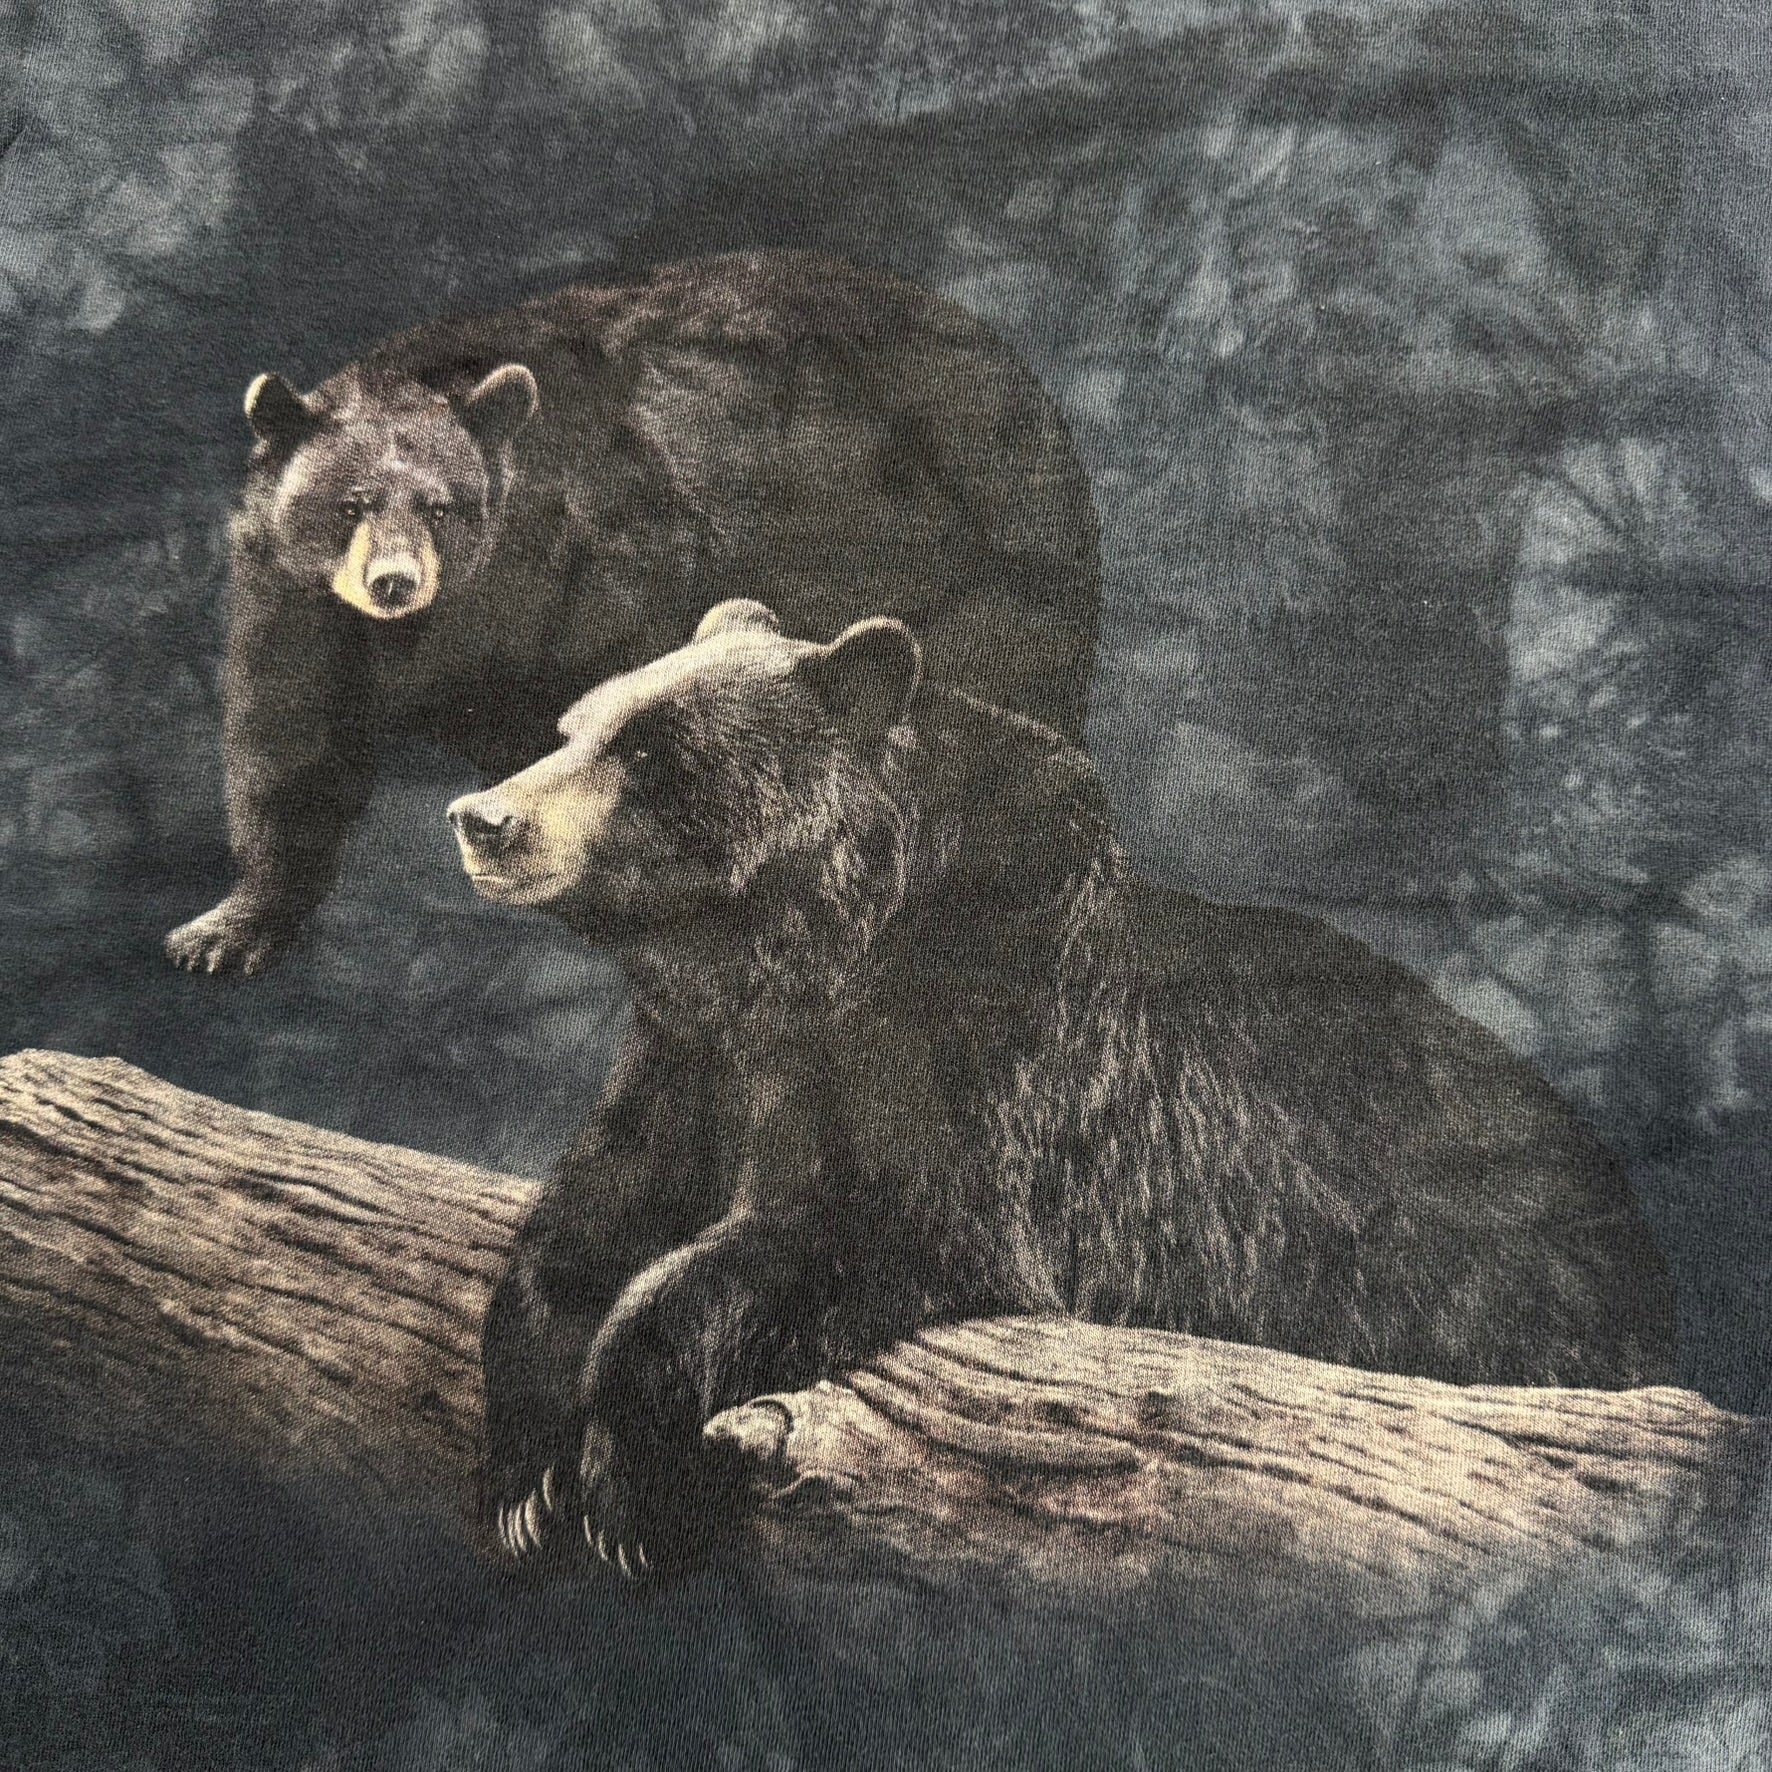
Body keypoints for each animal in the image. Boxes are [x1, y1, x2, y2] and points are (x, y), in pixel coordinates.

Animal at [166, 249, 1101, 976]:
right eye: (349, 503)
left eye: (440, 505)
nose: (395, 582)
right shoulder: (299, 606)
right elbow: (291, 738)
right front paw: (228, 927)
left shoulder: (600, 560)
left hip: (980, 548)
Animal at [446, 597, 1678, 1576]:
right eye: (575, 727)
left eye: (651, 754)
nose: (484, 817)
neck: (810, 957)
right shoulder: (694, 1057)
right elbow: (595, 1211)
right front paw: (521, 1466)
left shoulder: (984, 1055)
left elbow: (853, 1230)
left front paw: (623, 1479)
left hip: (1483, 1277)